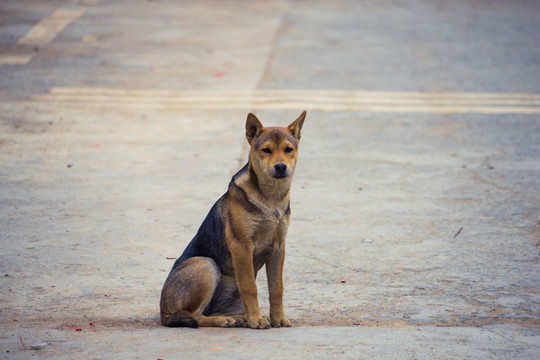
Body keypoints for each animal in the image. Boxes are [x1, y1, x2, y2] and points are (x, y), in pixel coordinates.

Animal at [158, 110, 306, 330]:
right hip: (205, 264)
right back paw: (226, 320)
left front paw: (278, 318)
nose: (281, 167)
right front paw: (256, 320)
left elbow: (276, 288)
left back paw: (239, 318)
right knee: (195, 316)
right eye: (266, 150)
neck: (270, 198)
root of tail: (163, 313)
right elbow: (250, 287)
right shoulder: (242, 246)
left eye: (289, 149)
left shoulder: (278, 248)